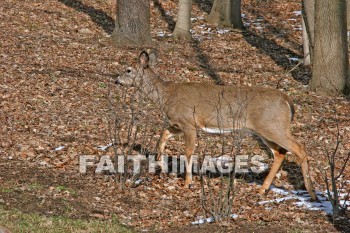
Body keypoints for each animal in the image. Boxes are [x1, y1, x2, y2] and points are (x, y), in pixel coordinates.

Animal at [115, 50, 318, 201]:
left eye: (128, 70)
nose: (116, 80)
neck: (166, 96)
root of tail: (288, 101)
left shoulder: (189, 123)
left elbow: (188, 152)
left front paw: (187, 183)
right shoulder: (177, 123)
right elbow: (163, 135)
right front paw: (159, 162)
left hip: (273, 126)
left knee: (299, 148)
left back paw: (312, 194)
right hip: (264, 130)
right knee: (280, 153)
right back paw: (263, 189)